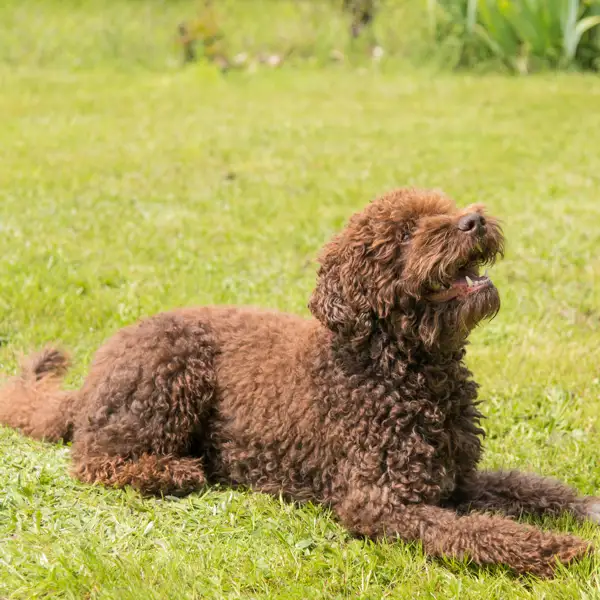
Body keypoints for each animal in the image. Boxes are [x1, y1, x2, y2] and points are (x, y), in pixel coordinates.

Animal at [1, 188, 600, 576]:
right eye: (406, 233)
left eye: (447, 211)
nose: (473, 220)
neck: (405, 369)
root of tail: (94, 373)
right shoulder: (383, 502)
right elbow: (479, 532)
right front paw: (560, 550)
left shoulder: (456, 480)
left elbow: (533, 488)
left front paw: (587, 510)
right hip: (169, 376)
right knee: (92, 459)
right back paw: (173, 471)